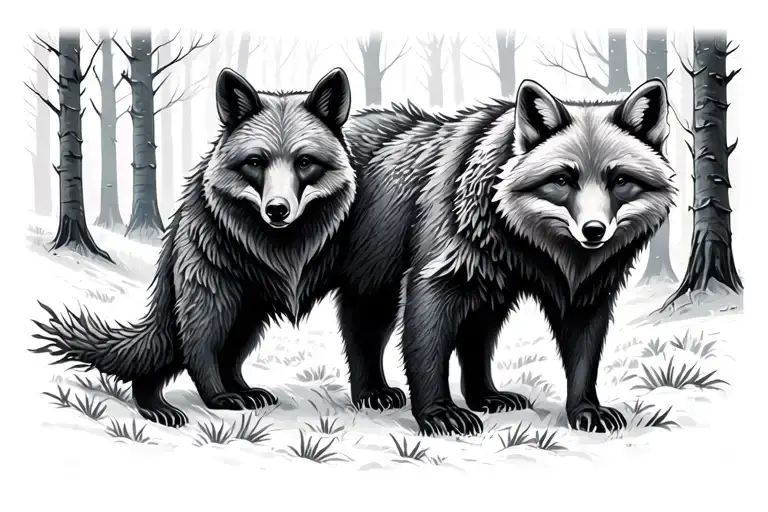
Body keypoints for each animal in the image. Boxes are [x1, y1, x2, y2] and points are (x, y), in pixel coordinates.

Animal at [32, 67, 362, 427]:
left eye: (304, 162)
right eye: (256, 161)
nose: (277, 210)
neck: (282, 237)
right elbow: (200, 341)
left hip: (248, 300)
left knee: (230, 348)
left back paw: (237, 387)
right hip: (213, 275)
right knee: (198, 339)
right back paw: (184, 396)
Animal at [340, 78, 676, 436]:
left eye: (620, 180)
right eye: (562, 179)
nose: (594, 231)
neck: (527, 250)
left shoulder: (579, 290)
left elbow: (581, 353)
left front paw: (585, 408)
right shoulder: (447, 262)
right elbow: (427, 342)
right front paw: (439, 411)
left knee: (368, 322)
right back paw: (374, 392)